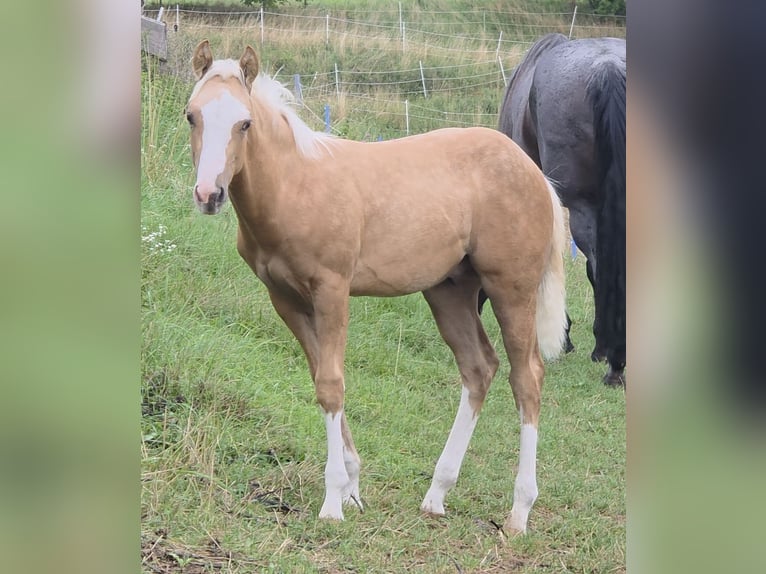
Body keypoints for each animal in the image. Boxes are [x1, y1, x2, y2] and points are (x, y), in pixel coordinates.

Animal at [184, 40, 567, 534]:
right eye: (191, 116)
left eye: (244, 123)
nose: (208, 195)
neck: (294, 185)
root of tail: (536, 173)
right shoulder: (286, 300)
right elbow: (321, 378)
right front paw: (351, 488)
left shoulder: (331, 290)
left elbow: (331, 384)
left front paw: (332, 502)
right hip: (449, 291)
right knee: (479, 368)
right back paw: (436, 495)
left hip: (511, 290)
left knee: (527, 378)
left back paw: (519, 512)